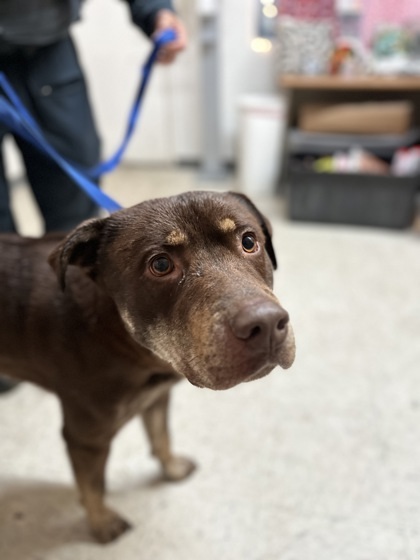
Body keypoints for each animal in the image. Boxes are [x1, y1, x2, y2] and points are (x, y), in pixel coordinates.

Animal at [0, 191, 296, 544]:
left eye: (249, 241)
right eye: (161, 265)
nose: (266, 325)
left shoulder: (157, 395)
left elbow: (161, 436)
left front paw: (172, 469)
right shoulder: (85, 436)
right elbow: (93, 486)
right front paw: (102, 523)